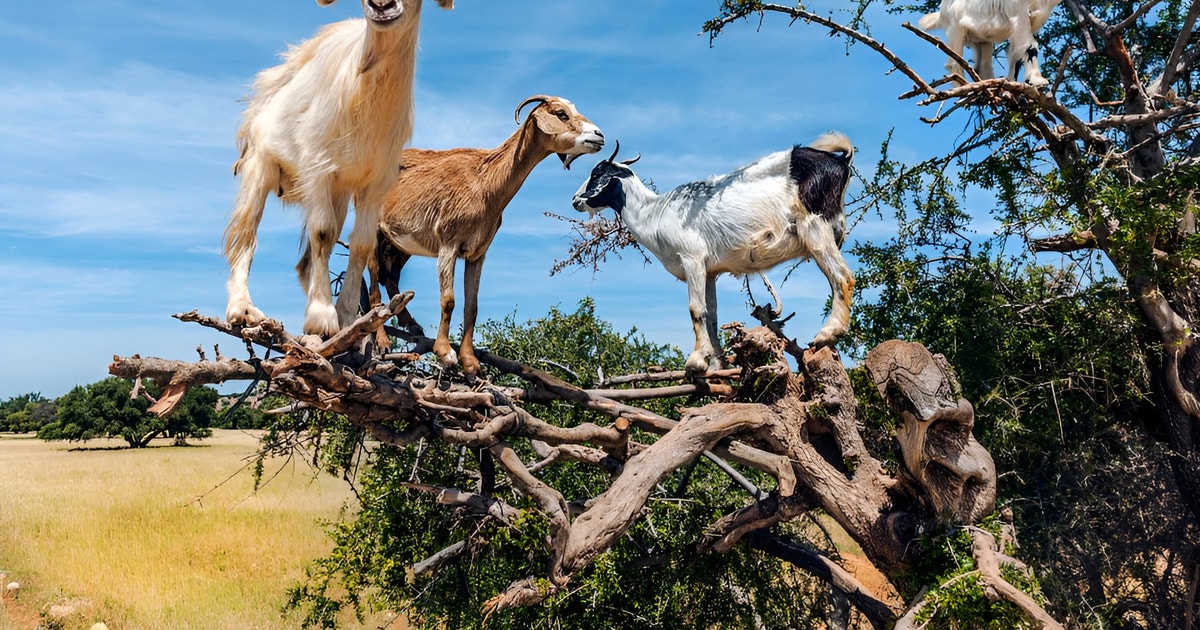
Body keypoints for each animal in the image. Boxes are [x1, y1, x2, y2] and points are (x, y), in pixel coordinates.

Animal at [223, 0, 451, 336]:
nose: (381, 5)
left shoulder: (375, 183)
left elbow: (361, 245)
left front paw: (344, 318)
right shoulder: (319, 168)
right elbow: (323, 232)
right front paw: (321, 317)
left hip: (339, 194)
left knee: (305, 261)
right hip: (259, 167)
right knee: (245, 235)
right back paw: (242, 310)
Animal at [364, 94, 604, 374]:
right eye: (560, 113)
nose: (599, 136)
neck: (485, 181)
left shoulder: (477, 252)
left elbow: (472, 306)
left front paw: (470, 362)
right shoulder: (448, 243)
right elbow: (448, 300)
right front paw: (445, 353)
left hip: (399, 244)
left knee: (390, 279)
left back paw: (411, 324)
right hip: (372, 231)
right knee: (374, 287)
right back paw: (383, 343)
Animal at [571, 130, 854, 372]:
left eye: (597, 173)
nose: (575, 200)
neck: (654, 212)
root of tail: (840, 161)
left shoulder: (691, 259)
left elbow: (696, 310)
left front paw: (696, 361)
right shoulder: (709, 271)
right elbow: (712, 315)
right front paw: (718, 365)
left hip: (815, 226)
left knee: (842, 277)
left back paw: (827, 334)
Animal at [916, 0, 1060, 87]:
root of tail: (941, 12)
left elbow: (1015, 53)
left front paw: (1013, 81)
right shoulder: (1020, 15)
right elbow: (1030, 46)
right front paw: (1037, 80)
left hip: (982, 39)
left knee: (982, 66)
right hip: (955, 28)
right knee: (953, 63)